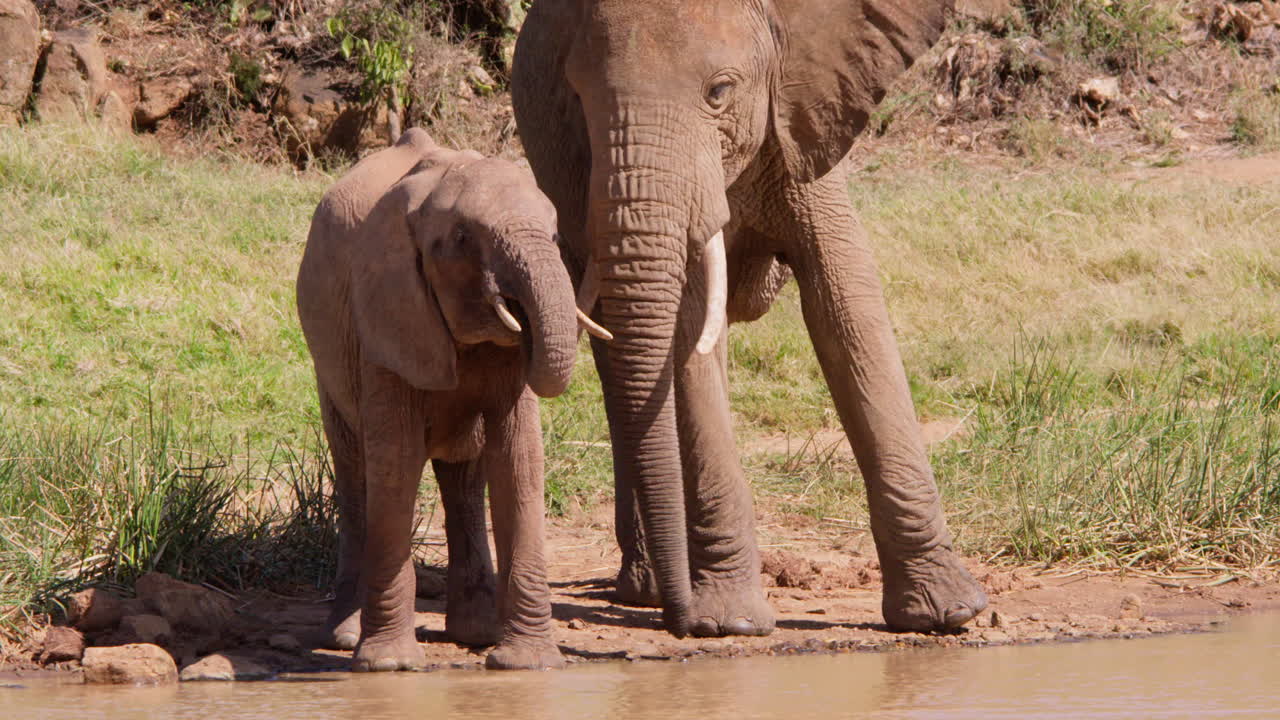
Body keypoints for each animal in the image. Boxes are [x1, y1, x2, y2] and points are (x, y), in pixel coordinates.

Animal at [296, 128, 606, 670]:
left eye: (552, 237)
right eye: (463, 239)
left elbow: (518, 459)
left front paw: (528, 665)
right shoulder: (386, 316)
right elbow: (396, 462)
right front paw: (390, 667)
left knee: (464, 477)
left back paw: (477, 634)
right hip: (329, 362)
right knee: (356, 472)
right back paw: (344, 638)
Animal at [511, 0, 988, 638]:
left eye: (719, 92)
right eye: (577, 101)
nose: (682, 623)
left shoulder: (802, 119)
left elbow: (848, 302)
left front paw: (947, 614)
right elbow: (688, 331)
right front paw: (729, 624)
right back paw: (653, 587)